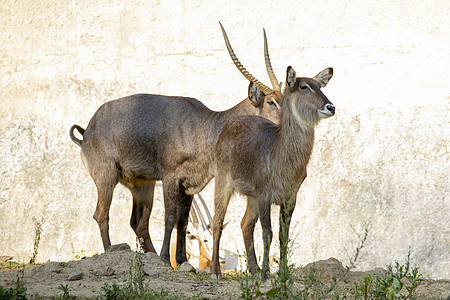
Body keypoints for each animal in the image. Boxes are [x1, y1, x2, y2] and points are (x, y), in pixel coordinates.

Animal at [68, 24, 284, 268]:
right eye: (271, 101)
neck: (207, 126)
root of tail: (86, 132)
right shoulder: (170, 177)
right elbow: (170, 217)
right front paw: (166, 256)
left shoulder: (189, 183)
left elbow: (183, 220)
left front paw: (180, 260)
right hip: (106, 177)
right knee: (101, 214)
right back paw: (111, 251)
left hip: (143, 185)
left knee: (138, 222)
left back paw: (150, 255)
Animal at [210, 65, 334, 278]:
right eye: (304, 86)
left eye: (320, 85)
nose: (331, 107)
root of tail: (230, 123)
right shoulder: (264, 196)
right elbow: (268, 233)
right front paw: (268, 272)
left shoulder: (290, 198)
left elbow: (284, 234)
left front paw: (282, 271)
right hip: (224, 182)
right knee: (218, 221)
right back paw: (216, 271)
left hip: (251, 196)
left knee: (245, 224)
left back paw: (254, 270)